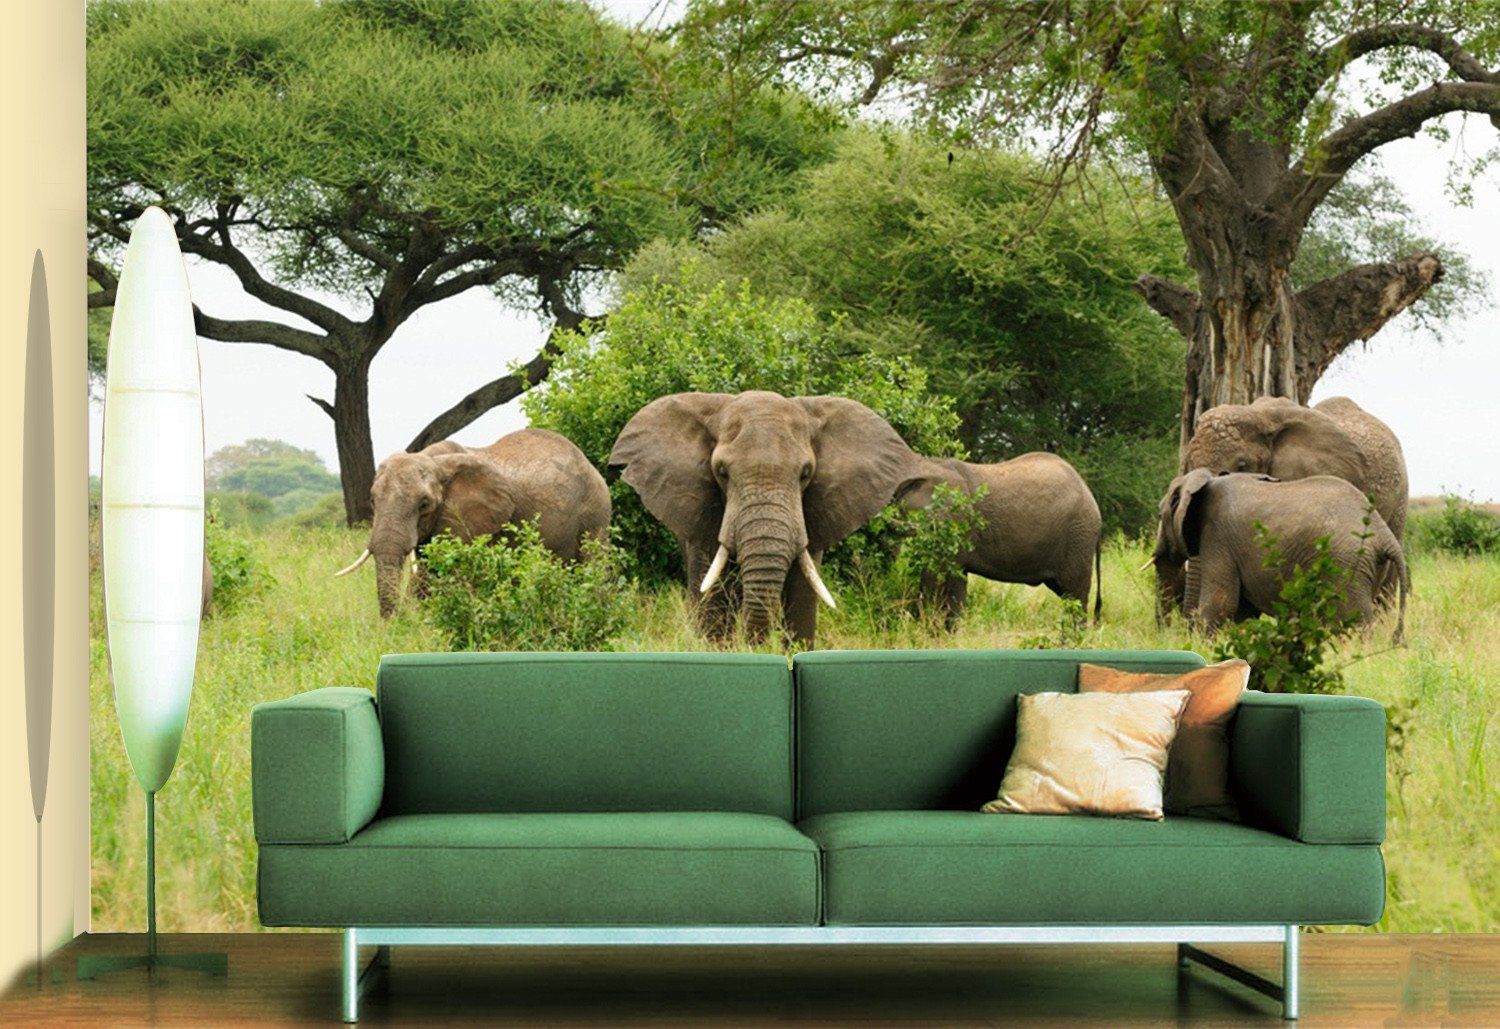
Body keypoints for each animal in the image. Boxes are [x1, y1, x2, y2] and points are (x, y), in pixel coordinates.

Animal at [1149, 469, 1408, 642]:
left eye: (1160, 516)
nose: (1166, 638)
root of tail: (1385, 535)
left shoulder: (1217, 537)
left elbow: (1221, 603)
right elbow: (1243, 611)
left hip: (1346, 563)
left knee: (1353, 620)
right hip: (1370, 565)